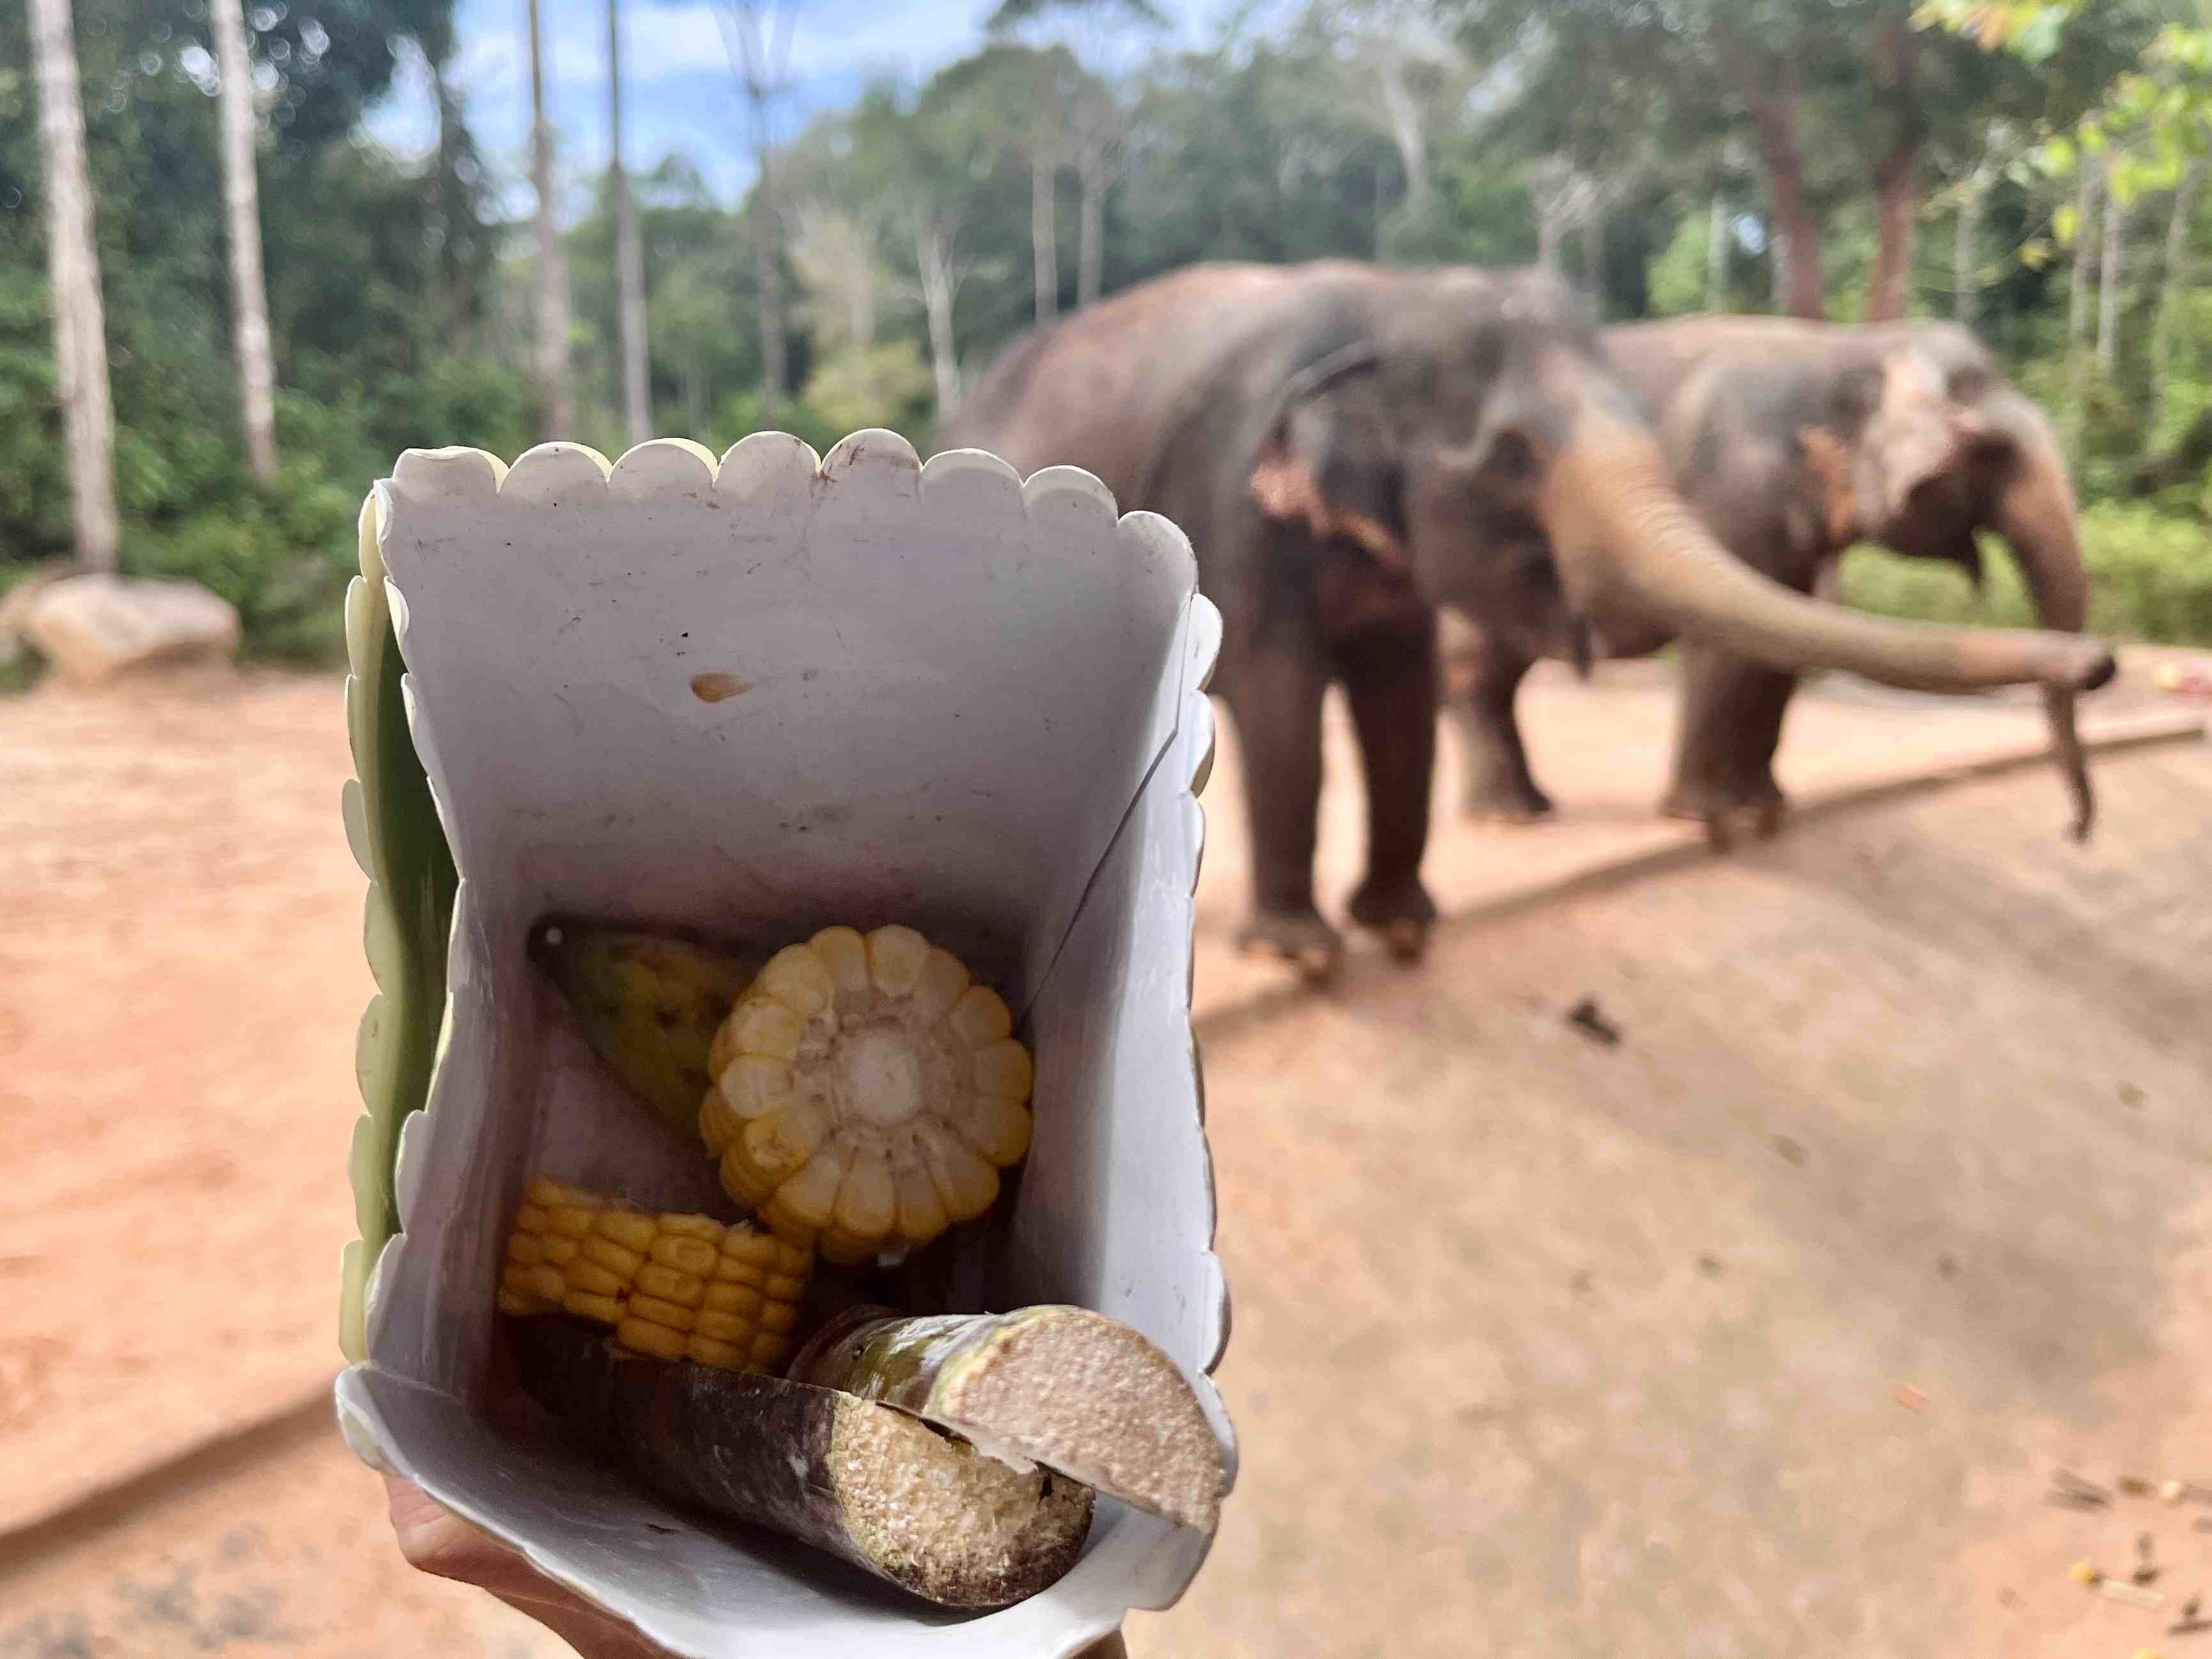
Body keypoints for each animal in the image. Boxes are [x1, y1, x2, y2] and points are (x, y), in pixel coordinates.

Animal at [1442, 316, 2097, 845]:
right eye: (1994, 453)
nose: (2074, 830)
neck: (1851, 346)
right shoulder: (1734, 488)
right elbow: (1727, 648)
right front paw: (1702, 817)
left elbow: (1777, 653)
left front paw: (1766, 807)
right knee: (1477, 669)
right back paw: (1509, 815)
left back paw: (1528, 807)